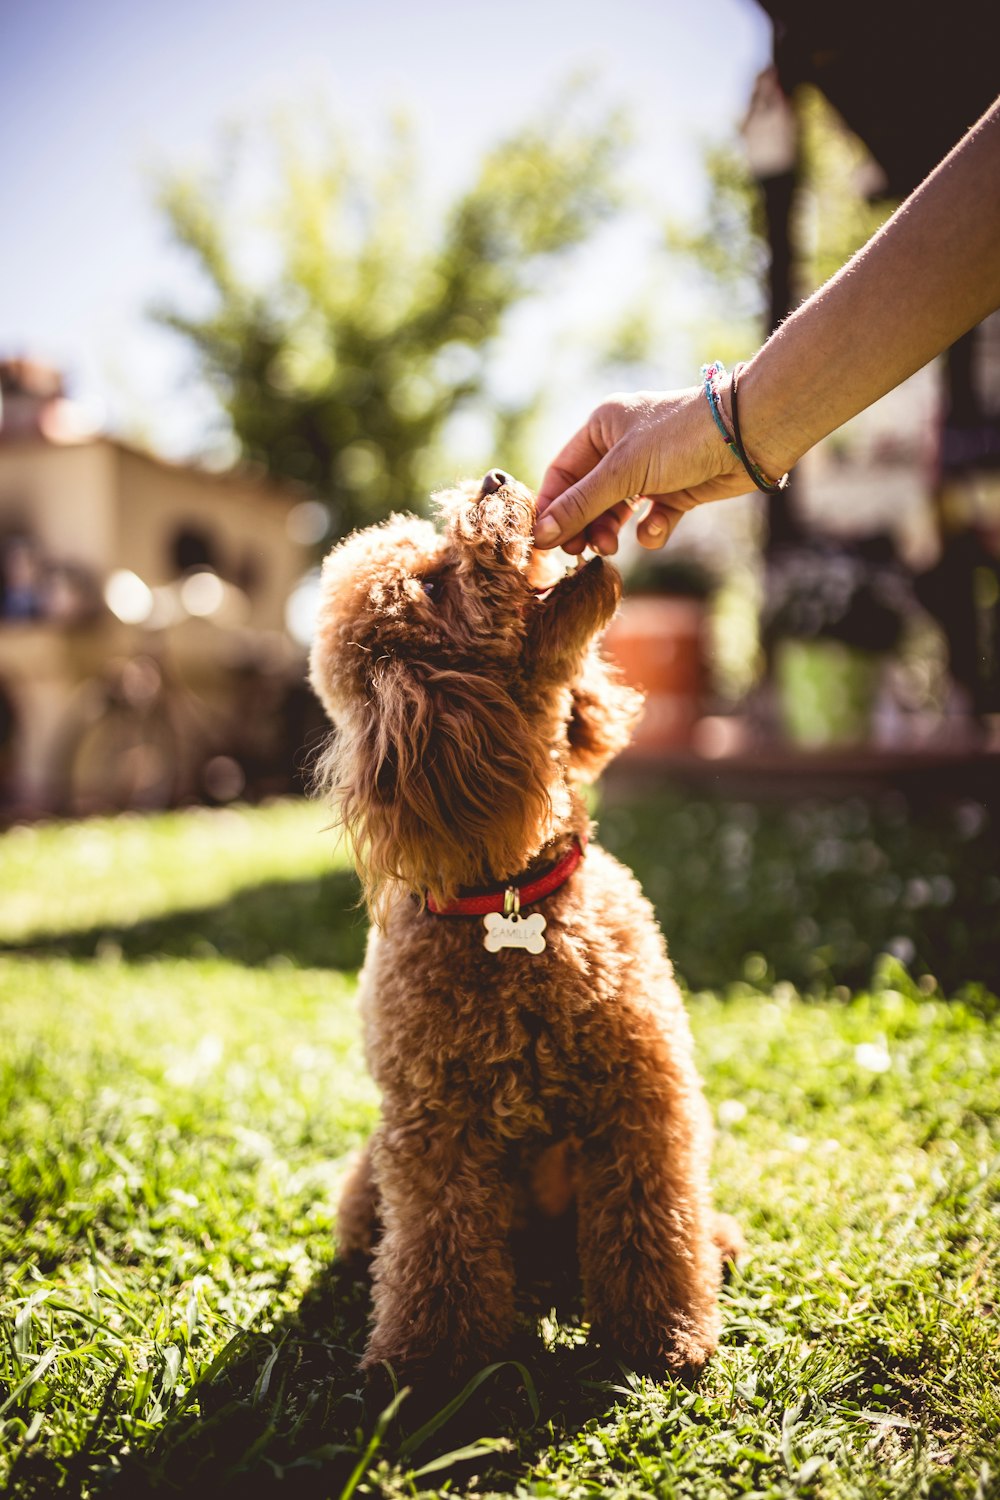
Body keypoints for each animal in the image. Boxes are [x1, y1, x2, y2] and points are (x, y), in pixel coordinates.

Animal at [313, 468, 743, 1380]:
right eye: (435, 583)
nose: (496, 479)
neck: (513, 898)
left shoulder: (643, 1098)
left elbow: (655, 1219)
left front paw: (663, 1337)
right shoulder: (436, 1128)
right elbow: (439, 1244)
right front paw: (429, 1362)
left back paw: (717, 1239)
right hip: (379, 1165)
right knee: (384, 1232)